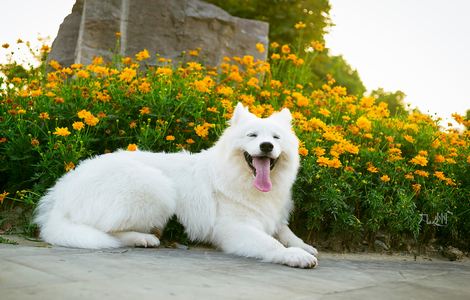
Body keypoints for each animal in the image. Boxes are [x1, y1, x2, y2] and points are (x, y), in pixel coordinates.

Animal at [35, 102, 318, 268]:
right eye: (253, 136)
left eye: (276, 138)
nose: (266, 146)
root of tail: (64, 191)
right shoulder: (235, 229)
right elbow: (271, 243)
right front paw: (295, 256)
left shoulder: (274, 217)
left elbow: (286, 232)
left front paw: (304, 246)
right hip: (156, 187)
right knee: (108, 232)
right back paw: (143, 237)